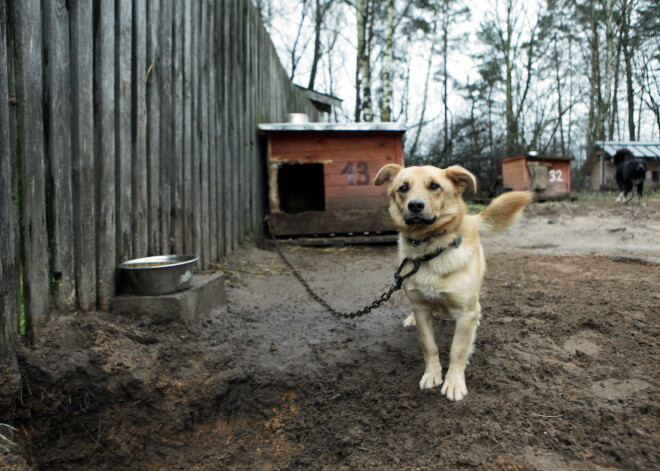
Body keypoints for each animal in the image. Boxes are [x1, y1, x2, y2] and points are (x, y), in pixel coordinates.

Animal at [374, 164, 532, 400]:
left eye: (434, 186)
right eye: (403, 188)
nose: (415, 205)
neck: (430, 250)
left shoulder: (465, 313)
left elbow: (457, 350)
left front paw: (454, 383)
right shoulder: (422, 309)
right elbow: (429, 346)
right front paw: (432, 374)